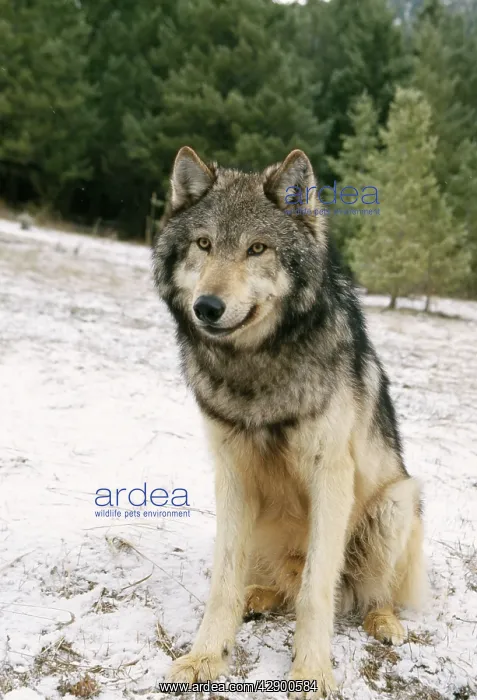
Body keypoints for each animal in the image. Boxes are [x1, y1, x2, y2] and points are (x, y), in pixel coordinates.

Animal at [152, 146, 426, 697]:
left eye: (257, 248)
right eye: (204, 244)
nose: (207, 307)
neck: (257, 366)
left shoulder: (332, 475)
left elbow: (317, 591)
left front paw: (312, 672)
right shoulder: (232, 474)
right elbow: (223, 583)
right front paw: (205, 657)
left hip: (396, 503)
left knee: (364, 593)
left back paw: (384, 621)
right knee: (276, 585)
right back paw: (258, 597)